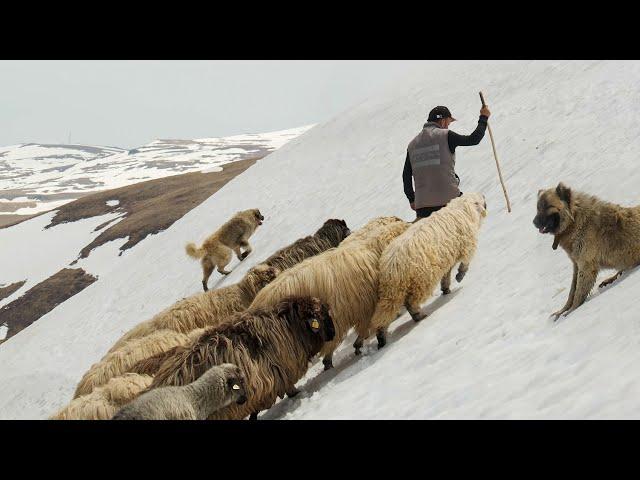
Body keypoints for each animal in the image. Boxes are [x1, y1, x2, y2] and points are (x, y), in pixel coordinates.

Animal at [532, 182, 640, 320]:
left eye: (548, 206)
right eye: (538, 208)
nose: (534, 222)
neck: (575, 221)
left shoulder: (586, 265)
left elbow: (578, 292)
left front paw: (570, 311)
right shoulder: (576, 264)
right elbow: (572, 291)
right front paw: (562, 310)